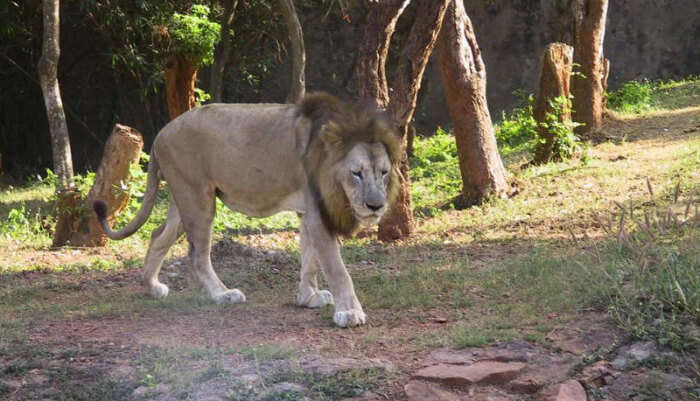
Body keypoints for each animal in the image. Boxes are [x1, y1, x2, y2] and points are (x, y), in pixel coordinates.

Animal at [93, 92, 400, 326]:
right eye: (356, 173)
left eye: (384, 172)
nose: (376, 206)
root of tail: (160, 134)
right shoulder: (318, 212)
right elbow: (337, 269)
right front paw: (350, 312)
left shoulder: (307, 212)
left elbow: (310, 260)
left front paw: (308, 297)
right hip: (198, 199)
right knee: (197, 255)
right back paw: (222, 295)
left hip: (183, 200)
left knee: (158, 236)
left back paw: (152, 286)